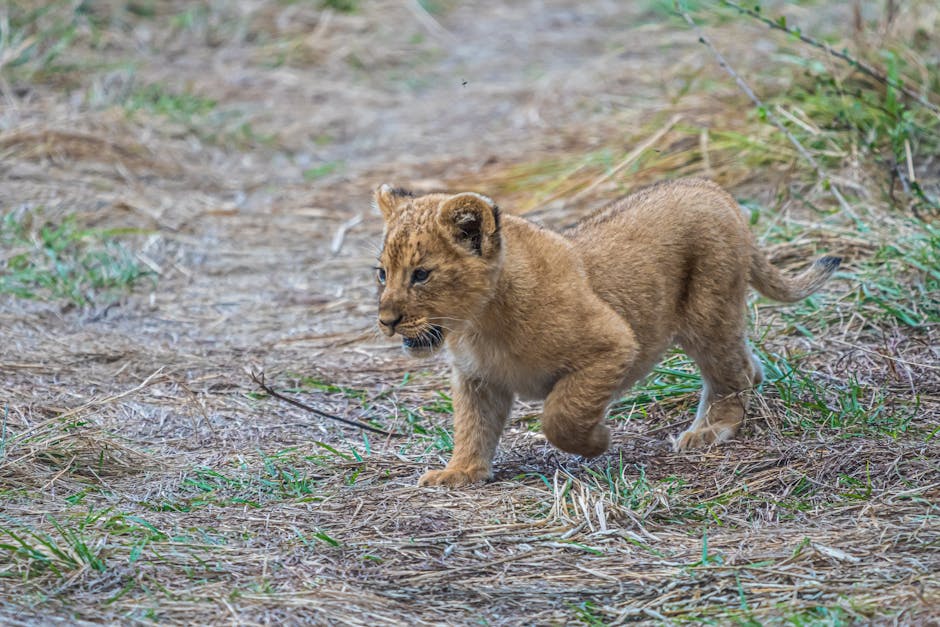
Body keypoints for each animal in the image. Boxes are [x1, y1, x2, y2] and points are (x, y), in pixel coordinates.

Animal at [373, 179, 840, 488]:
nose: (386, 320)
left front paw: (598, 441)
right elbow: (472, 426)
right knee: (747, 365)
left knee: (731, 371)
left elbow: (560, 415)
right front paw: (460, 473)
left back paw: (710, 429)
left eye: (421, 274)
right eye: (382, 273)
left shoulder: (612, 343)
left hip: (709, 311)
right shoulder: (477, 378)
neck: (478, 323)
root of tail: (711, 189)